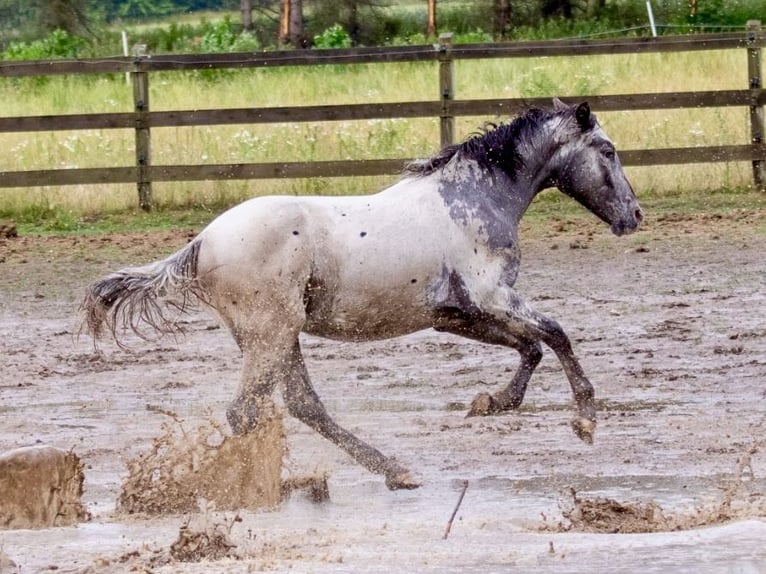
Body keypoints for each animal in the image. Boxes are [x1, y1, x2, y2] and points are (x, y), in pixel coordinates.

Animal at [81, 98, 640, 490]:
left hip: (277, 337)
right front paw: (585, 421)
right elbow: (556, 334)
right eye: (608, 151)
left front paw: (492, 402)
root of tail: (201, 242)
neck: (476, 199)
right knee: (248, 410)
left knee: (301, 405)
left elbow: (530, 346)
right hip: (270, 333)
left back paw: (392, 471)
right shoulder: (493, 297)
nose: (633, 217)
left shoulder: (456, 314)